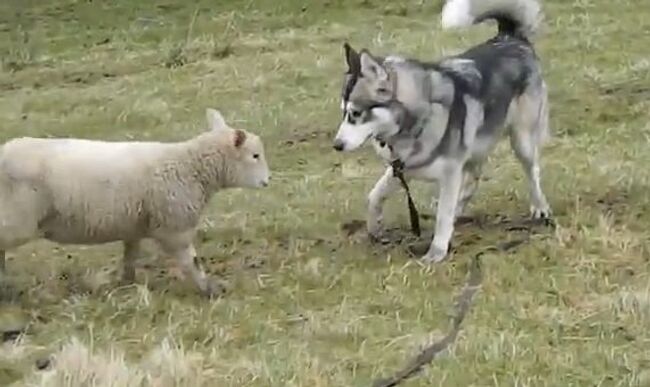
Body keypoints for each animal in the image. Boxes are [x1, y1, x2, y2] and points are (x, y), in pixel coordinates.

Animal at [0, 109, 268, 298]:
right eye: (255, 156)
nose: (267, 181)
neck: (190, 167)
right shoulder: (175, 228)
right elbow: (192, 261)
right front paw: (210, 289)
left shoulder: (134, 225)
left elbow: (130, 257)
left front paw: (126, 284)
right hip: (15, 219)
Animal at [332, 0, 548, 264]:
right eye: (343, 112)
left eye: (355, 114)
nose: (336, 145)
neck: (414, 119)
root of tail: (510, 38)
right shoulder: (402, 168)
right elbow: (374, 196)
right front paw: (374, 228)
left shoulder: (449, 173)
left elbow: (443, 216)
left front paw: (436, 252)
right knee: (474, 177)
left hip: (521, 141)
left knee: (532, 172)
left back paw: (540, 207)